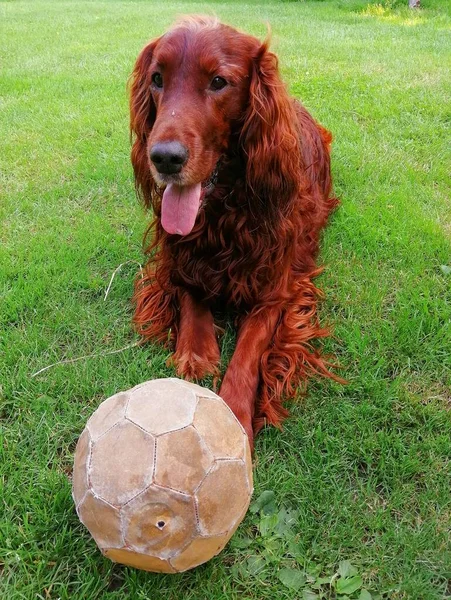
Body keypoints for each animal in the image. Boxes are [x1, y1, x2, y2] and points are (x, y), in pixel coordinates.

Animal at [129, 16, 340, 448]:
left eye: (219, 81)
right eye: (157, 78)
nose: (164, 158)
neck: (223, 212)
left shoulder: (278, 288)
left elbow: (249, 349)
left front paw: (235, 413)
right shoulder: (177, 256)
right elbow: (191, 291)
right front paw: (197, 352)